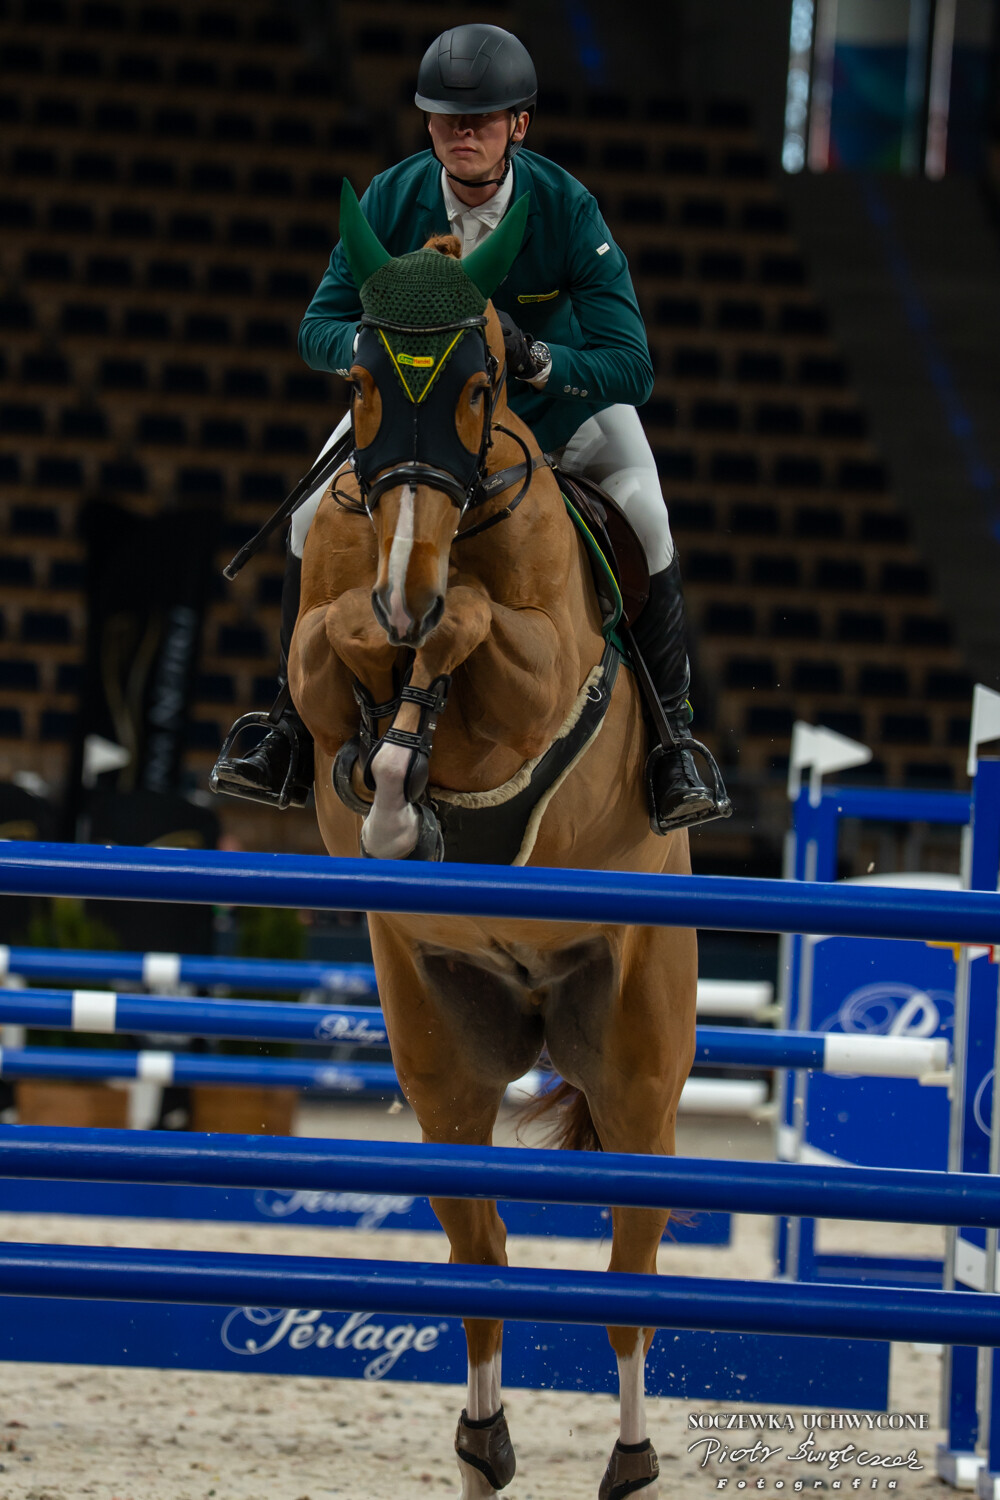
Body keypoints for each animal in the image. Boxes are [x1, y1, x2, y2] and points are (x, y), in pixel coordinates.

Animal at [288, 182, 697, 1500]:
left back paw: (631, 1458)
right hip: (444, 1054)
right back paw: (480, 1444)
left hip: (635, 1062)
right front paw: (383, 776)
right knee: (482, 1258)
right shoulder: (331, 619)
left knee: (629, 1275)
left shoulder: (539, 682)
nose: (406, 586)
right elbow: (338, 649)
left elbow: (473, 632)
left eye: (478, 386)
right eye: (364, 380)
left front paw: (408, 751)